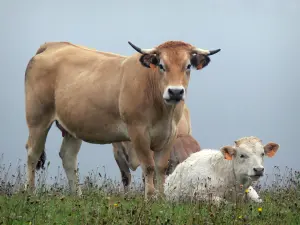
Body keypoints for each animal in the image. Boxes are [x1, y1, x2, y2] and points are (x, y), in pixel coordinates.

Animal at [24, 40, 220, 199]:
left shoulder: (169, 136)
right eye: (161, 65)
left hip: (72, 127)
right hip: (38, 119)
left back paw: (76, 195)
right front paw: (150, 198)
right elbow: (148, 167)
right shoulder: (138, 132)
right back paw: (31, 193)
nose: (175, 92)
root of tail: (53, 45)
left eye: (188, 66)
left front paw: (162, 198)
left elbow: (161, 168)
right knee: (33, 153)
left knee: (68, 157)